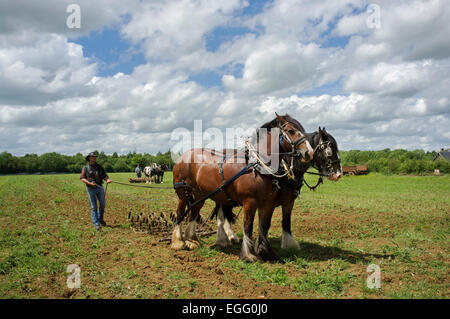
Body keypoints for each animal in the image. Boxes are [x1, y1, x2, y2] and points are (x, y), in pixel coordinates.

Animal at [171, 114, 314, 262]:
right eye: (291, 131)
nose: (309, 152)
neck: (257, 166)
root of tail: (182, 156)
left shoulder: (267, 203)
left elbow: (264, 227)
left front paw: (266, 252)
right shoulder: (250, 201)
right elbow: (248, 226)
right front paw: (248, 255)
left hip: (200, 195)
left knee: (193, 212)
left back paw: (192, 240)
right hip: (183, 193)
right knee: (180, 212)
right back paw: (178, 241)